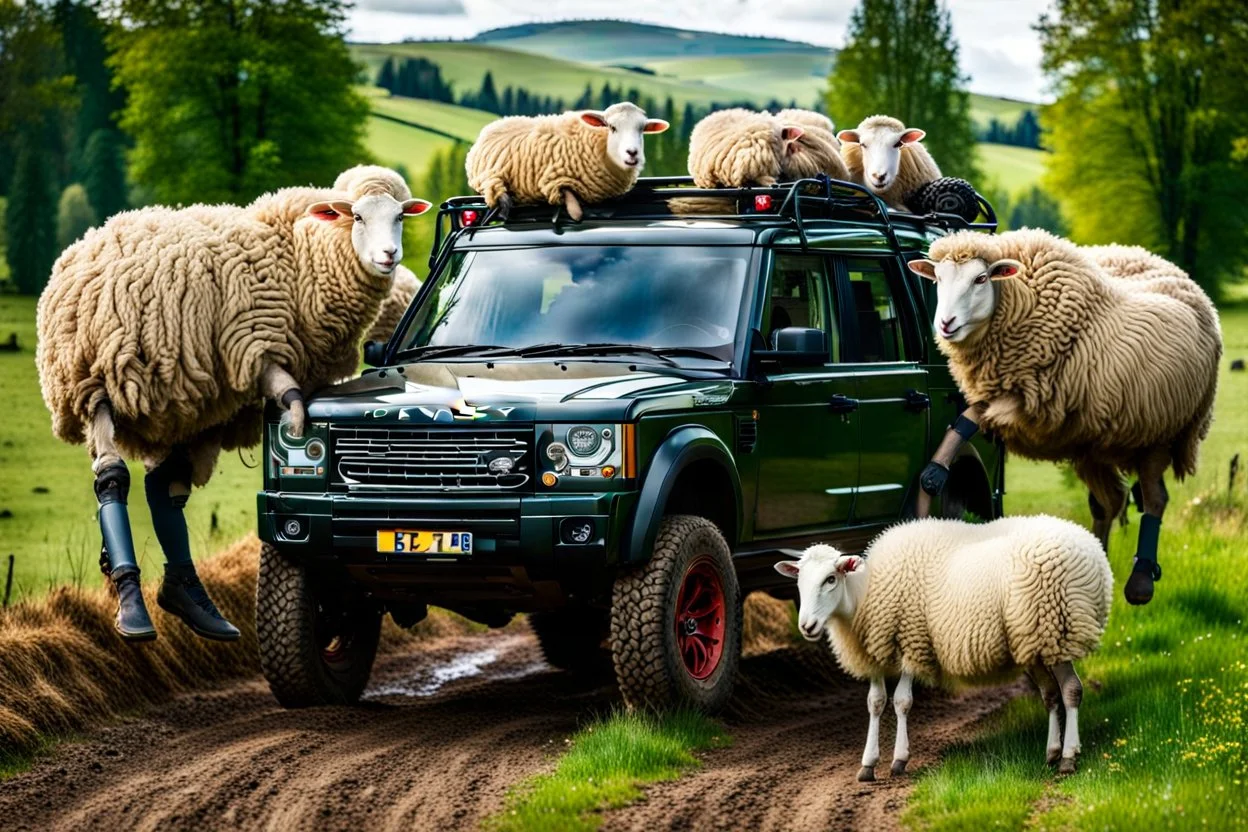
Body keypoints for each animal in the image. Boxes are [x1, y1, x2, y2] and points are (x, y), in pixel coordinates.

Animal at [464, 101, 668, 223]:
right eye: (612, 127)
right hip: (490, 179)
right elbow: (577, 213)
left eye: (641, 128)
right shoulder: (555, 181)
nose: (632, 153)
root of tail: (489, 127)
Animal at [908, 228, 1218, 606]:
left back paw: (1141, 581)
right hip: (1094, 439)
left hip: (1161, 429)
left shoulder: (1029, 396)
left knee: (1154, 497)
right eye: (937, 278)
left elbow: (972, 414)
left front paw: (935, 474)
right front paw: (933, 475)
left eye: (980, 278)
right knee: (1109, 501)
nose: (945, 324)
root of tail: (1184, 279)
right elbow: (968, 416)